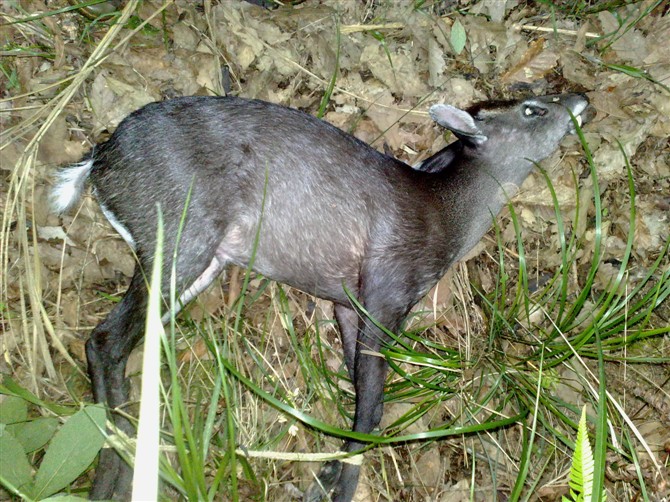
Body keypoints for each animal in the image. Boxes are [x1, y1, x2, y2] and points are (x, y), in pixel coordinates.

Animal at [52, 92, 592, 500]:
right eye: (532, 108)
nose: (581, 97)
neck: (447, 217)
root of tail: (98, 162)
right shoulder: (386, 286)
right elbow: (371, 407)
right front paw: (340, 484)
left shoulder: (347, 302)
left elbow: (360, 395)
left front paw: (329, 473)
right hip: (181, 230)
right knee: (104, 339)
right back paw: (115, 468)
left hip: (202, 261)